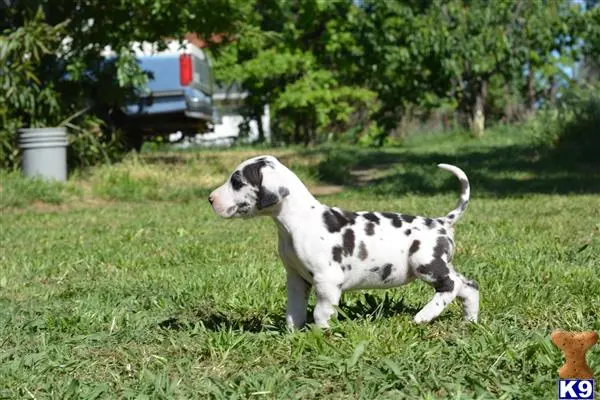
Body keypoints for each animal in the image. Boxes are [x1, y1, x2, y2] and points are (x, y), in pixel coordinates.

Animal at [209, 155, 480, 328]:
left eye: (237, 181)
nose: (210, 198)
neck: (298, 221)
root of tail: (442, 222)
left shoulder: (327, 282)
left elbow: (320, 314)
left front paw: (320, 336)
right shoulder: (296, 279)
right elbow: (294, 313)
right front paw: (293, 336)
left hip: (426, 264)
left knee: (451, 285)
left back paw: (425, 315)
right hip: (441, 265)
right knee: (469, 286)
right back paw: (470, 320)